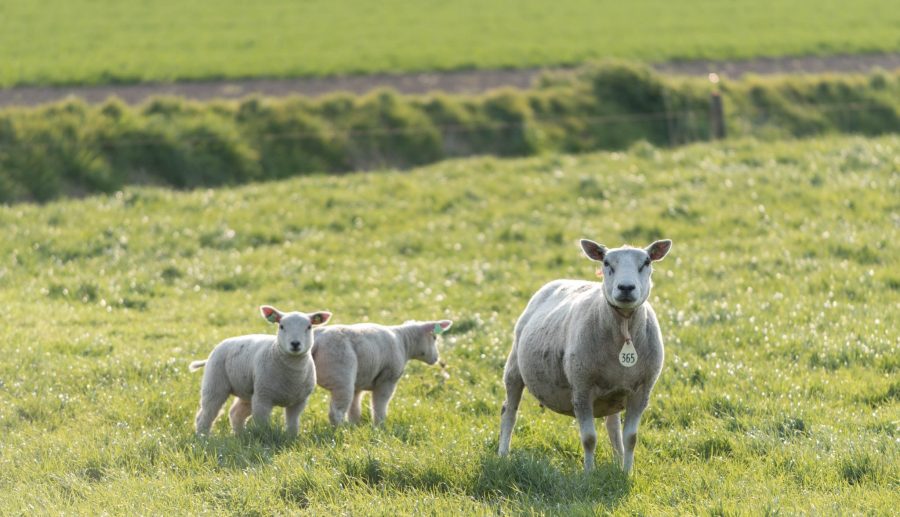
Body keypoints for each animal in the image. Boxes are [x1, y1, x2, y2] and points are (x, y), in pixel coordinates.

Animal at [189, 305, 332, 437]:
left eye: (309, 327)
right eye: (281, 326)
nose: (295, 344)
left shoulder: (299, 402)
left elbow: (293, 424)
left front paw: (291, 438)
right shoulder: (263, 398)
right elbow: (262, 425)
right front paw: (263, 440)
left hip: (248, 391)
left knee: (235, 413)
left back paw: (239, 435)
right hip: (215, 383)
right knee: (206, 414)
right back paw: (203, 437)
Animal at [311, 319, 453, 426]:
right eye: (434, 337)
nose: (436, 359)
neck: (404, 343)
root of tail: (316, 341)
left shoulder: (359, 381)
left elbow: (354, 407)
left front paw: (355, 425)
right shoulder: (387, 379)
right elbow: (379, 404)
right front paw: (379, 425)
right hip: (341, 377)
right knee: (336, 412)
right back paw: (341, 431)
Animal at [498, 238, 672, 474]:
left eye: (646, 262)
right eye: (606, 262)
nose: (626, 287)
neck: (624, 326)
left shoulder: (642, 392)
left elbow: (631, 438)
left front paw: (626, 473)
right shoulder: (581, 388)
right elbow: (589, 439)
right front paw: (589, 474)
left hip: (614, 393)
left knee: (612, 425)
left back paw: (618, 460)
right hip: (515, 365)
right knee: (509, 411)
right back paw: (502, 454)